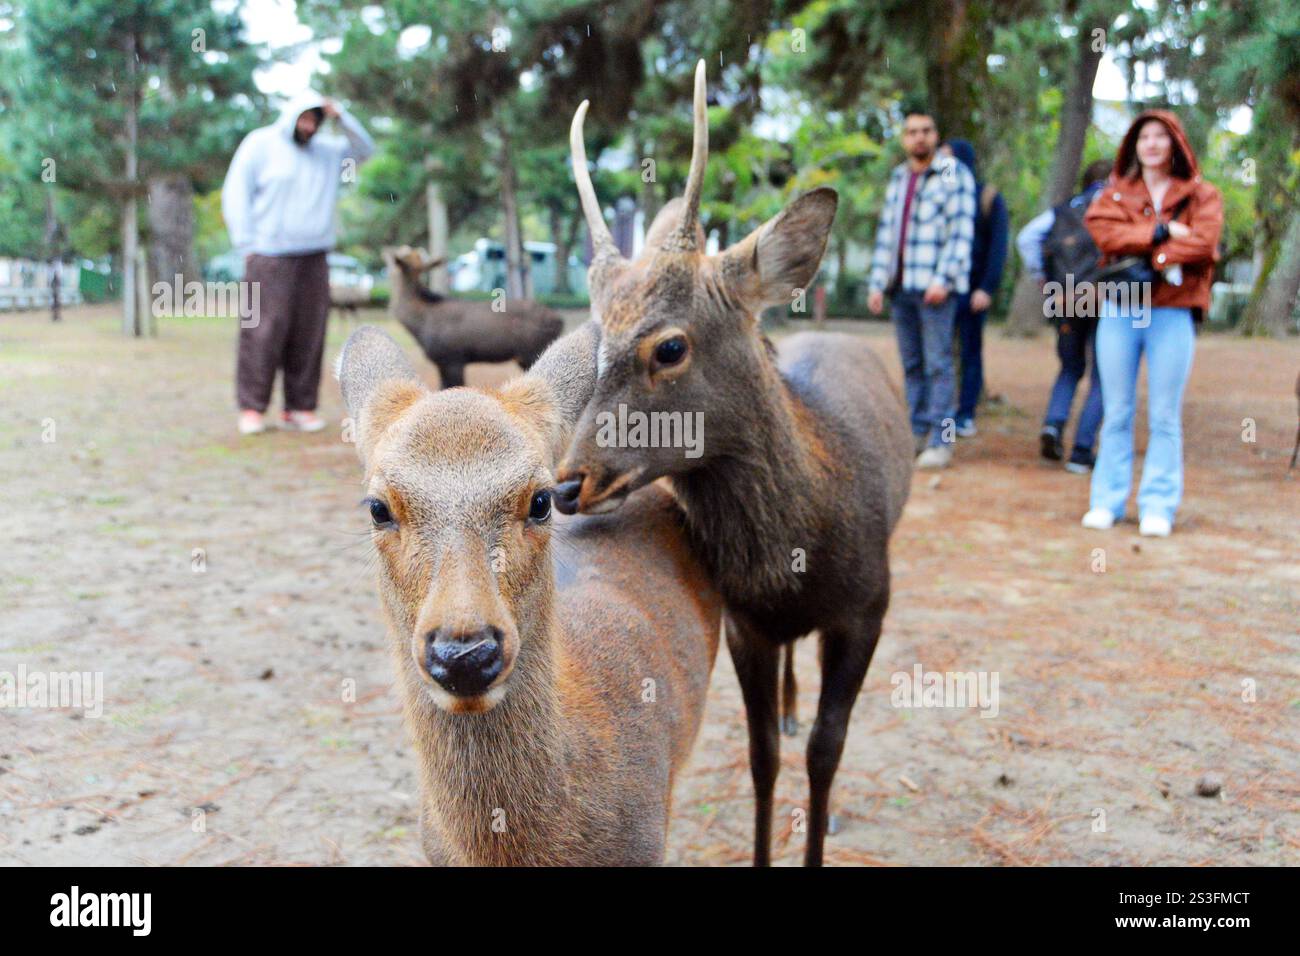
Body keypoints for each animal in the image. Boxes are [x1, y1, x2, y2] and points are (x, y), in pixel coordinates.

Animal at [383, 245, 564, 388]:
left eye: (399, 258)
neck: (420, 325)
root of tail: (560, 321)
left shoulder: (453, 357)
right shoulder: (442, 362)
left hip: (532, 352)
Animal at [553, 61, 914, 866]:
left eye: (669, 346)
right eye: (592, 341)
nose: (565, 483)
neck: (800, 556)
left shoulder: (870, 607)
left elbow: (826, 752)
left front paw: (818, 838)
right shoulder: (747, 623)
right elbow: (762, 758)